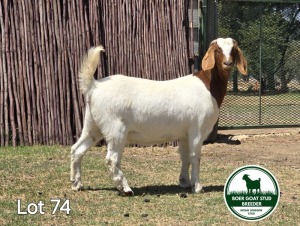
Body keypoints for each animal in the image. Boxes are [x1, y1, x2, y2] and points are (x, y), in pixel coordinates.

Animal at [69, 37, 246, 196]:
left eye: (233, 50)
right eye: (217, 50)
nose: (227, 63)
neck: (209, 86)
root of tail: (94, 86)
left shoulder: (184, 133)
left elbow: (185, 157)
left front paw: (184, 182)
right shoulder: (197, 129)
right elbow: (195, 157)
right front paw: (197, 187)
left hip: (93, 125)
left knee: (77, 149)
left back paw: (77, 184)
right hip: (115, 128)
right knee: (111, 159)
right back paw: (125, 189)